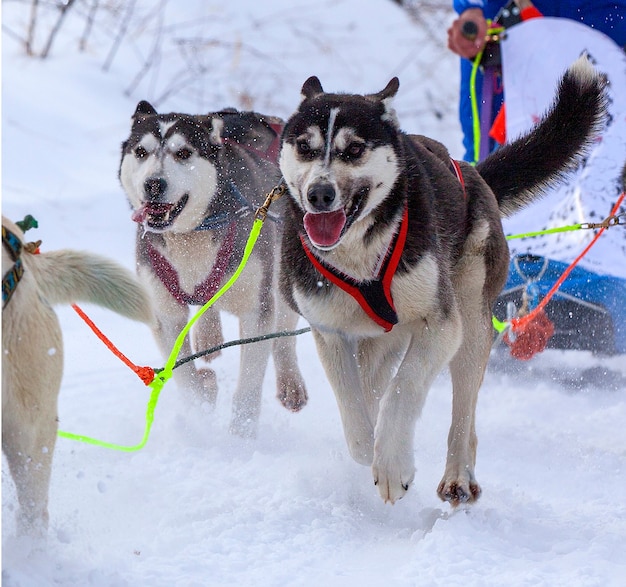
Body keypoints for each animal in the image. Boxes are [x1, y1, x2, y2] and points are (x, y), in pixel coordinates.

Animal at [119, 103, 308, 438]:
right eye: (141, 151)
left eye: (183, 153)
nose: (153, 184)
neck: (190, 236)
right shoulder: (165, 313)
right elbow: (185, 379)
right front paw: (201, 407)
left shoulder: (256, 308)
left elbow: (249, 384)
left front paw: (241, 437)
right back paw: (208, 339)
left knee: (285, 333)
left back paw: (290, 384)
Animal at [278, 56, 604, 506]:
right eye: (305, 147)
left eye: (354, 149)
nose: (319, 194)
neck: (360, 256)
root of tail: (473, 174)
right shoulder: (330, 332)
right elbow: (354, 408)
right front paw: (367, 446)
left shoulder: (442, 326)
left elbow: (402, 391)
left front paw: (393, 465)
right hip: (382, 341)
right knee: (374, 383)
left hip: (471, 325)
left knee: (462, 418)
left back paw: (458, 478)